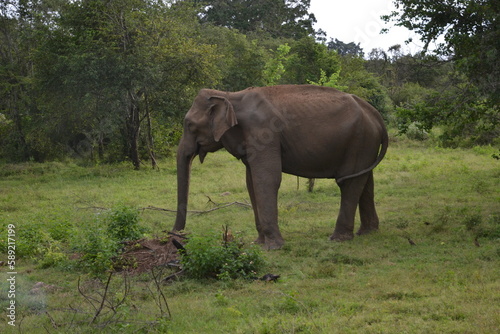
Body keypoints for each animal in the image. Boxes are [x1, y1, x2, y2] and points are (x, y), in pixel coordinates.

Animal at [174, 85, 388, 249]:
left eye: (190, 125)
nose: (177, 238)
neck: (230, 95)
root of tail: (376, 114)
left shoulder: (264, 132)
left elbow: (267, 179)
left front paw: (273, 247)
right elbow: (251, 182)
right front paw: (258, 244)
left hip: (361, 140)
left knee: (349, 182)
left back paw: (337, 239)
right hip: (365, 143)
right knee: (365, 181)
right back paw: (367, 232)